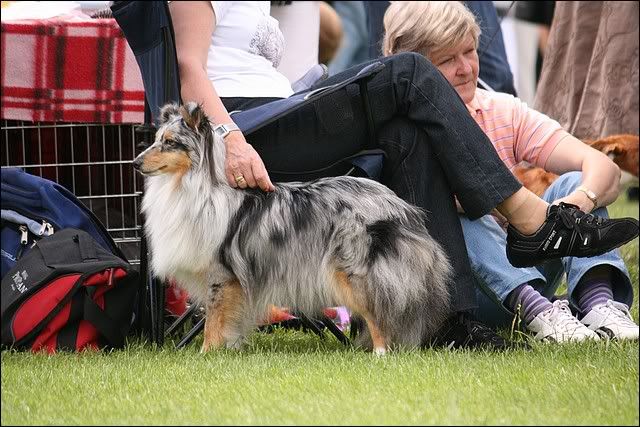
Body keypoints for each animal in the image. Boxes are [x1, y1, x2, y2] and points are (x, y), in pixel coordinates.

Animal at [133, 102, 452, 354]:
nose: (135, 163)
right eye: (156, 139)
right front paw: (228, 349)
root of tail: (401, 206)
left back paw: (380, 353)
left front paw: (206, 354)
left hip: (354, 273)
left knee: (378, 314)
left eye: (170, 142)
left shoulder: (221, 276)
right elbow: (228, 322)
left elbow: (213, 322)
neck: (192, 187)